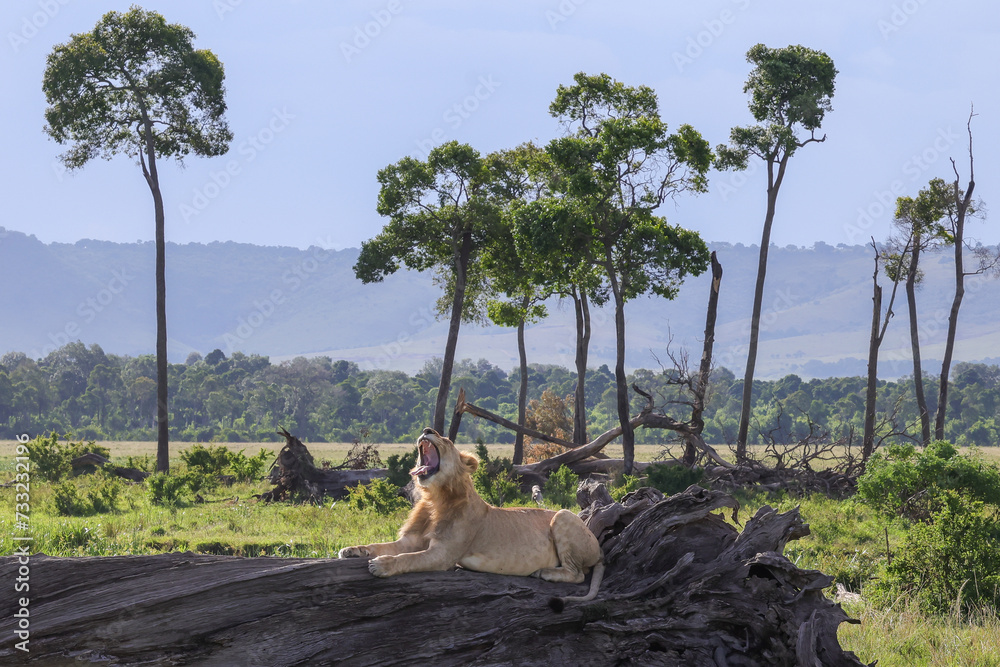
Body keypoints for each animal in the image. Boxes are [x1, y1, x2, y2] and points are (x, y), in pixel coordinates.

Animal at [338, 427, 604, 609]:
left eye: (445, 440)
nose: (427, 430)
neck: (435, 498)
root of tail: (600, 550)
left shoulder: (443, 555)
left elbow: (408, 558)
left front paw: (381, 565)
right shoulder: (409, 540)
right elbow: (380, 545)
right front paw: (351, 550)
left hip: (563, 516)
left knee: (578, 574)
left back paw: (544, 573)